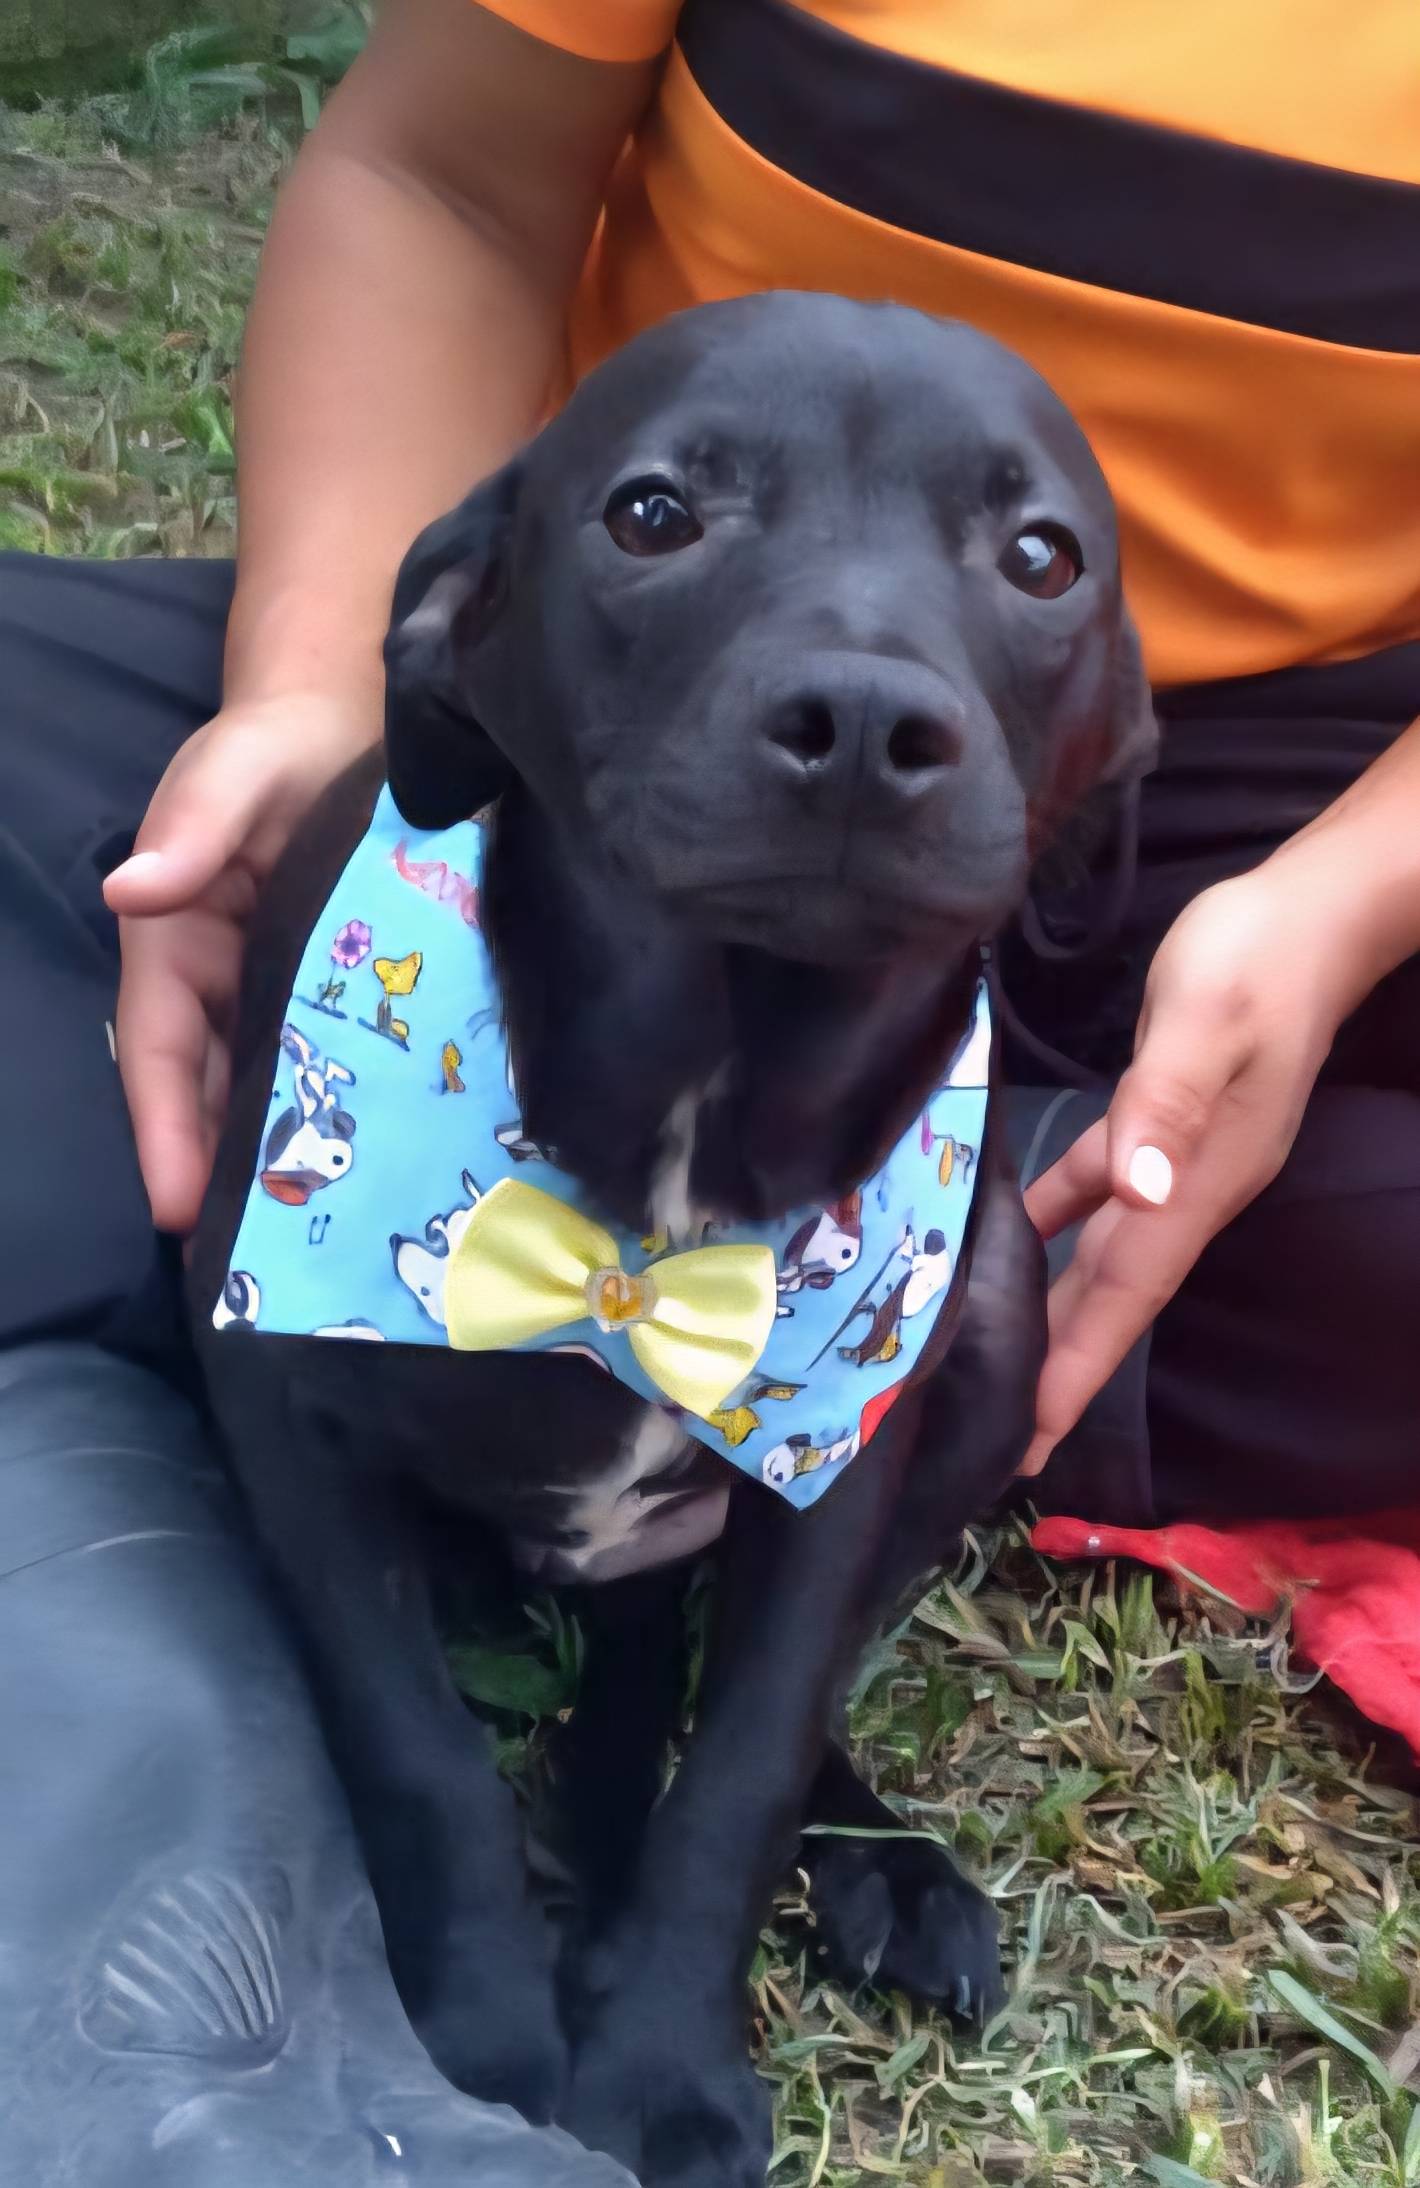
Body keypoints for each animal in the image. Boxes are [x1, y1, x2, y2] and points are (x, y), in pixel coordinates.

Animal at [192, 292, 1155, 2188]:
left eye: (1040, 556)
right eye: (653, 514)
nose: (863, 719)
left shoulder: (840, 1464)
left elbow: (746, 1765)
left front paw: (659, 2066)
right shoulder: (278, 1406)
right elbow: (412, 1742)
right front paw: (484, 2038)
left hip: (999, 1307)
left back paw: (871, 1864)